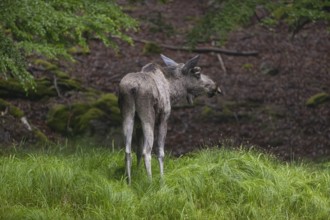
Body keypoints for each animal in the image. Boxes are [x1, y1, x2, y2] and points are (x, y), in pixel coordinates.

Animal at [118, 54, 222, 184]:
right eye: (197, 73)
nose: (216, 87)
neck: (172, 91)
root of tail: (133, 88)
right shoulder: (164, 119)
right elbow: (161, 152)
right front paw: (162, 180)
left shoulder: (138, 126)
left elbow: (137, 151)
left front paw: (138, 173)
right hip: (148, 117)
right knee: (147, 152)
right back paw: (150, 182)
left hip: (127, 115)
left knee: (128, 151)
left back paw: (129, 182)